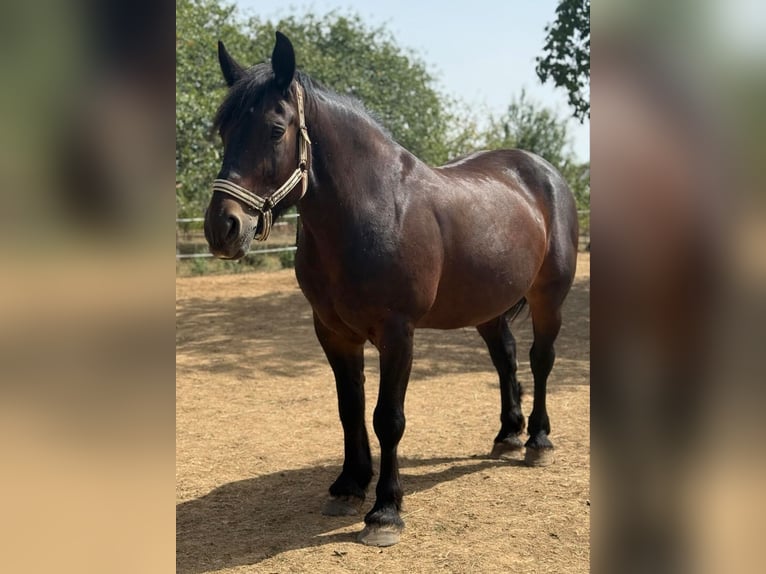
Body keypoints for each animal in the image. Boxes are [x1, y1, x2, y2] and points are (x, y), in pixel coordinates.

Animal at [203, 32, 578, 547]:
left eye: (276, 130)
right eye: (224, 131)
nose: (222, 228)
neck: (373, 207)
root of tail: (544, 171)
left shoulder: (398, 333)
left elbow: (388, 417)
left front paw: (384, 510)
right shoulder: (334, 333)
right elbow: (350, 408)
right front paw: (348, 486)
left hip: (549, 297)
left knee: (541, 360)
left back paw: (538, 440)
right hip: (487, 307)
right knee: (505, 357)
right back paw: (507, 434)